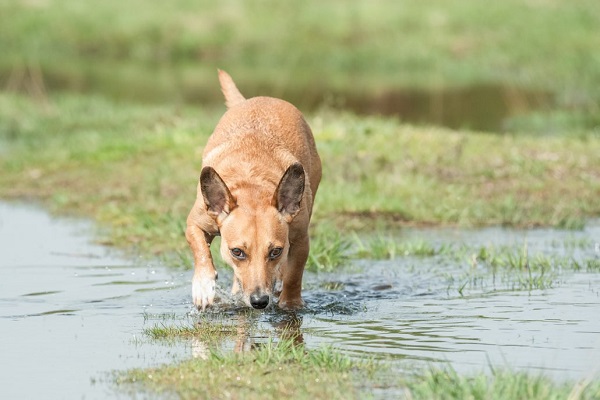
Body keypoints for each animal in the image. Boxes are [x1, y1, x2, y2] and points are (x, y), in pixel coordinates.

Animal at [185, 70, 322, 310]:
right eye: (237, 252)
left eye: (275, 251)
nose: (259, 301)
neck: (251, 189)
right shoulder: (195, 223)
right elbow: (200, 248)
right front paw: (203, 285)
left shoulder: (300, 239)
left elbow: (294, 275)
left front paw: (290, 304)